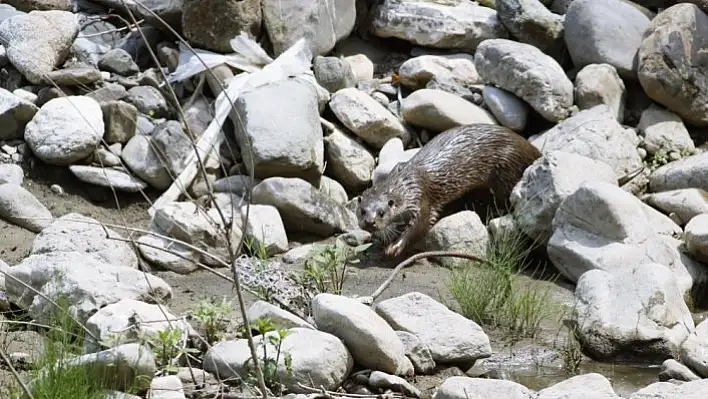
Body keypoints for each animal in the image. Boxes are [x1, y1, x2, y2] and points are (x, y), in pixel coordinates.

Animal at [360, 123, 544, 258]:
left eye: (381, 213)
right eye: (362, 211)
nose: (369, 222)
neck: (405, 183)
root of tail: (531, 149)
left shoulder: (420, 197)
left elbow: (420, 226)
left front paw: (394, 247)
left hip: (507, 170)